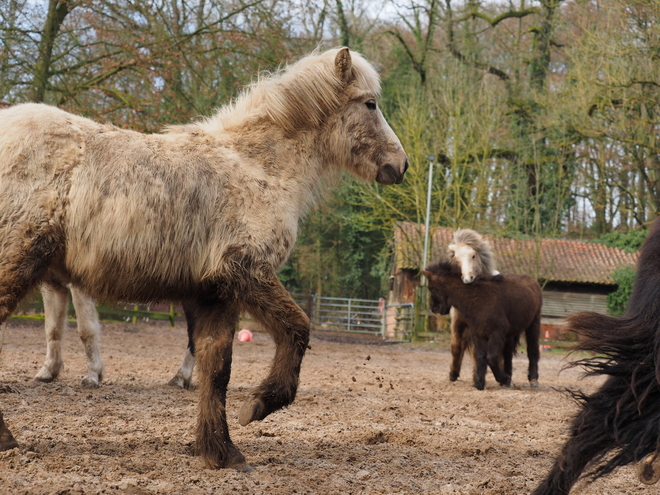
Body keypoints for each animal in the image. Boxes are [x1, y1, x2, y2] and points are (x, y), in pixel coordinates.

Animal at [422, 264, 540, 392]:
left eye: (431, 287)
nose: (434, 308)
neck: (477, 298)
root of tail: (532, 280)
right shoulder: (478, 333)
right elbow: (480, 357)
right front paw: (479, 383)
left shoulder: (496, 333)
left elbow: (491, 357)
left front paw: (503, 378)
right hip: (510, 333)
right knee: (508, 353)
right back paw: (508, 378)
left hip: (534, 324)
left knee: (532, 350)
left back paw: (533, 379)